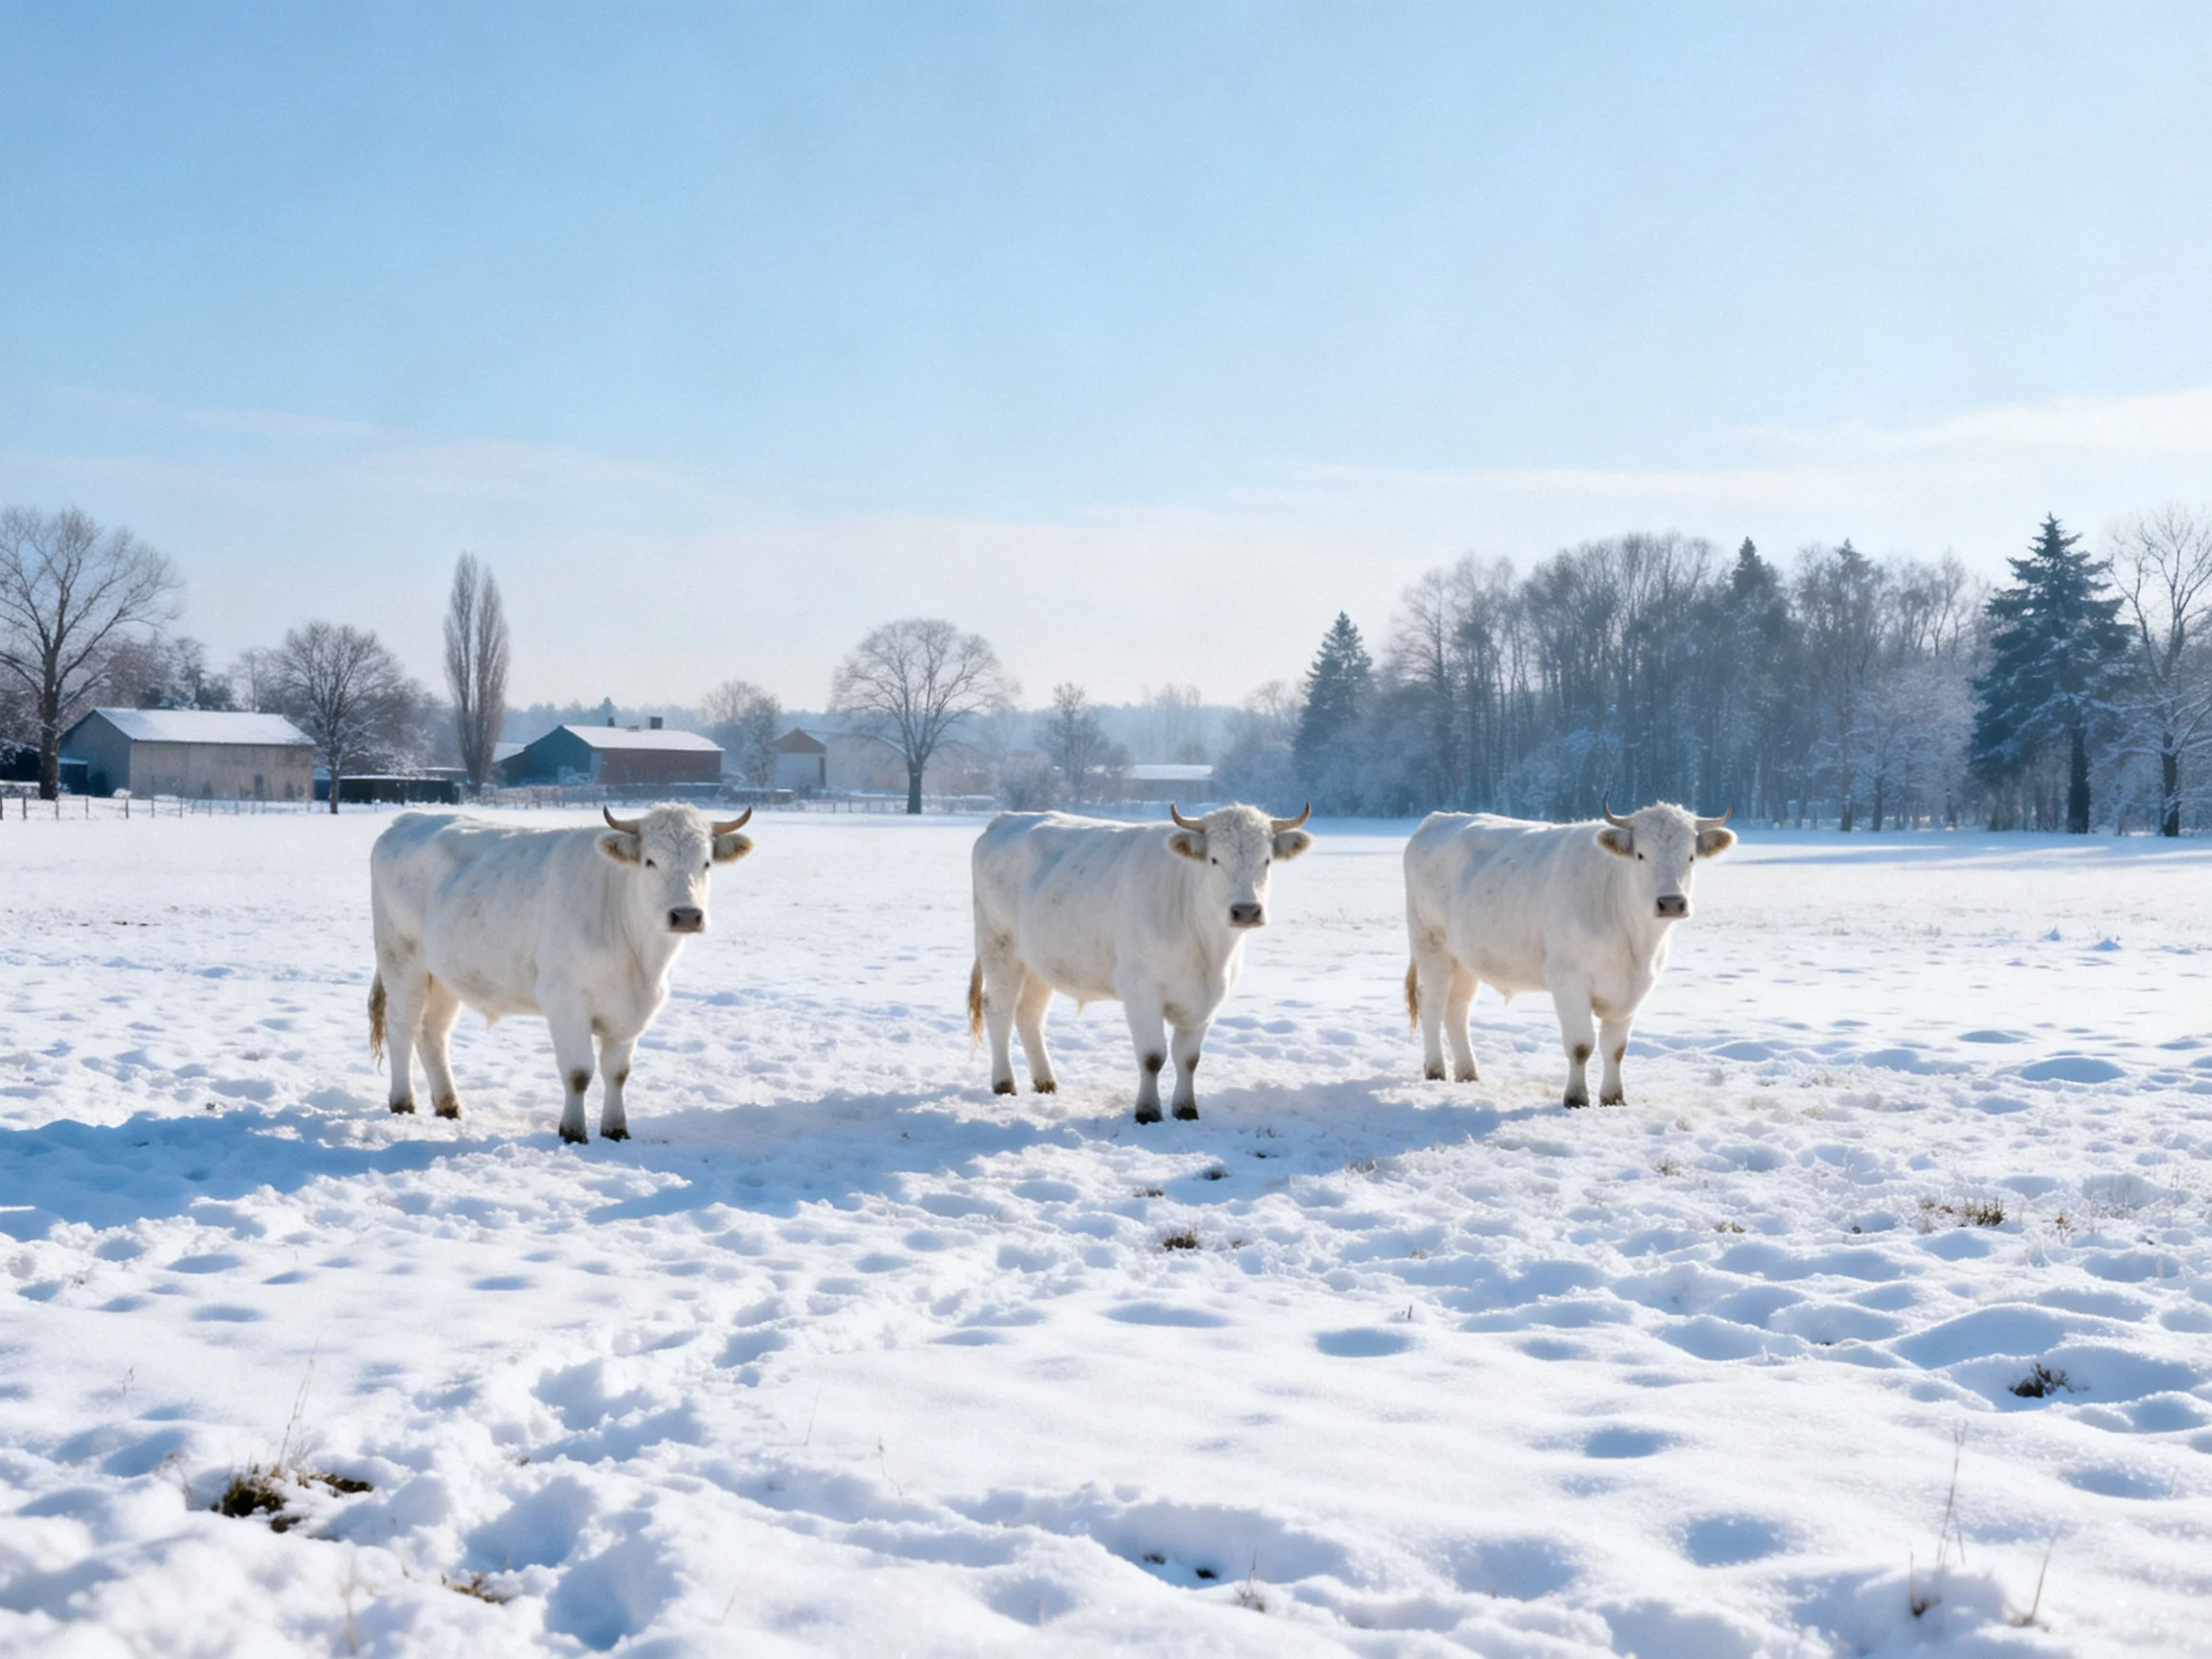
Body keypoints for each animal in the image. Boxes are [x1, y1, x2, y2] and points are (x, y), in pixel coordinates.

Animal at [368, 804, 755, 1143]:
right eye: (650, 861)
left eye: (706, 863)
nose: (686, 915)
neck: (641, 961)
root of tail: (407, 819)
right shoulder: (566, 1001)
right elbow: (579, 1073)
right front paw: (572, 1131)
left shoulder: (631, 1010)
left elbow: (618, 1073)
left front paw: (616, 1129)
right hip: (401, 959)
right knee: (402, 1027)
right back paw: (403, 1102)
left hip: (444, 975)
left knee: (433, 1033)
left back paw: (449, 1106)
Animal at [969, 803, 1315, 1123]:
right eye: (1214, 859)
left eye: (1266, 860)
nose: (1245, 911)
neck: (1208, 950)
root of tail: (1006, 819)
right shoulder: (1140, 989)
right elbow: (1152, 1056)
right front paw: (1147, 1111)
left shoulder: (1210, 998)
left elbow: (1189, 1058)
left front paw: (1186, 1109)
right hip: (998, 946)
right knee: (998, 1008)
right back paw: (1004, 1083)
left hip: (1040, 960)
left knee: (1029, 1013)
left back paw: (1045, 1081)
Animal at [1403, 801, 1735, 1107]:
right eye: (1641, 855)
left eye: (1690, 856)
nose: (1671, 902)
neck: (1634, 942)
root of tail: (1438, 818)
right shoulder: (1568, 980)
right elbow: (1581, 1045)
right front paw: (1575, 1098)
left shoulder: (1634, 988)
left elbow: (1616, 1048)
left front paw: (1613, 1098)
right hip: (1430, 943)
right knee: (1432, 1002)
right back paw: (1435, 1070)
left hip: (1464, 957)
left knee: (1457, 1008)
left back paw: (1468, 1073)